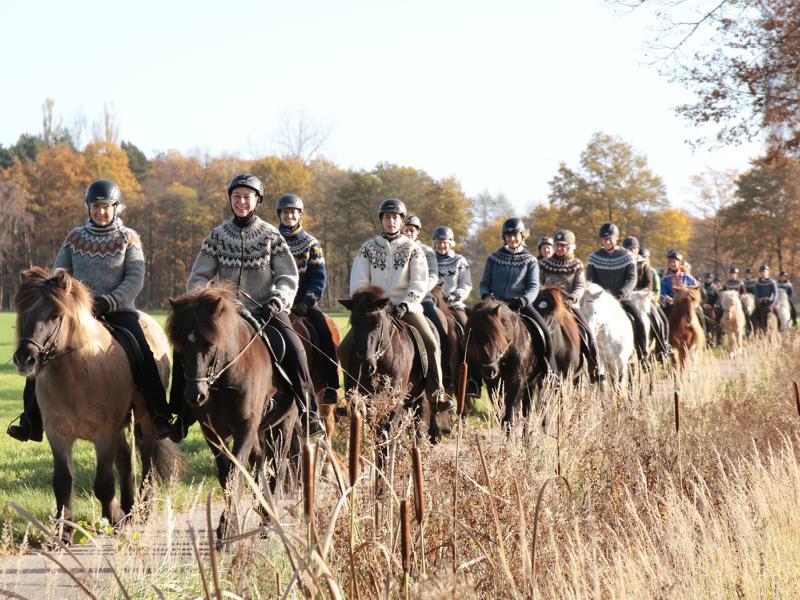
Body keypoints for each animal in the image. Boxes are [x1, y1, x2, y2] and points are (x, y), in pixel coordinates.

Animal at [12, 270, 176, 532]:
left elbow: (103, 484)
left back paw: (143, 509)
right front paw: (64, 530)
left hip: (147, 423)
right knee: (125, 460)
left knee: (147, 460)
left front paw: (113, 518)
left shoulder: (104, 434)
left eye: (55, 316)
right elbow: (62, 482)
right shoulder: (58, 434)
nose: (25, 359)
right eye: (24, 312)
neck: (77, 374)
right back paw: (129, 507)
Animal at [166, 286, 300, 540]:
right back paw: (262, 513)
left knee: (277, 467)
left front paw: (229, 527)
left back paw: (269, 519)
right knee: (260, 464)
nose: (195, 395)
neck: (224, 379)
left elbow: (236, 474)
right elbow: (226, 475)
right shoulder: (213, 433)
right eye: (180, 346)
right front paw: (226, 526)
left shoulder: (245, 428)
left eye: (210, 343)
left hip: (283, 425)